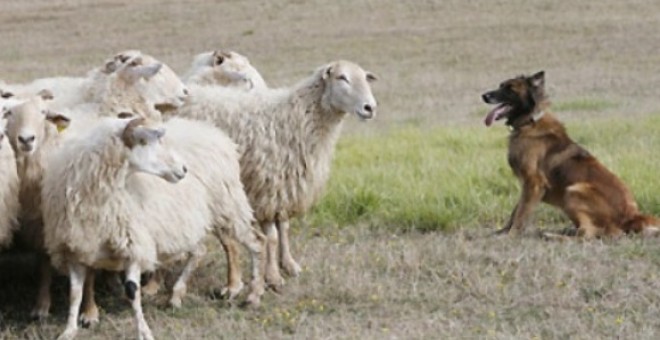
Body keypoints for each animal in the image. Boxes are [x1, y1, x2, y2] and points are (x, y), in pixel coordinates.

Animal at [42, 117, 266, 340]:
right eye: (143, 141)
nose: (183, 169)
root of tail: (216, 135)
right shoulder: (74, 250)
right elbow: (75, 293)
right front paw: (68, 331)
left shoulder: (133, 245)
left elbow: (132, 291)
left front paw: (144, 332)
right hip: (191, 221)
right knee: (200, 251)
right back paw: (177, 295)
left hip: (228, 206)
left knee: (256, 242)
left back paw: (253, 295)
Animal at [168, 60, 376, 286]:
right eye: (342, 77)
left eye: (365, 78)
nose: (370, 108)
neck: (295, 118)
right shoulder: (266, 187)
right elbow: (272, 236)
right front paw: (273, 276)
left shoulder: (285, 186)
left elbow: (284, 228)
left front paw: (289, 265)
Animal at [480, 70, 660, 238]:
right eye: (500, 85)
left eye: (510, 89)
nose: (484, 95)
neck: (529, 122)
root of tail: (632, 215)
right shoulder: (527, 185)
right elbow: (515, 211)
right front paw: (503, 232)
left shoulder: (533, 183)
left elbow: (521, 213)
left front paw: (511, 235)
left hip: (573, 191)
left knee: (588, 233)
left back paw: (554, 236)